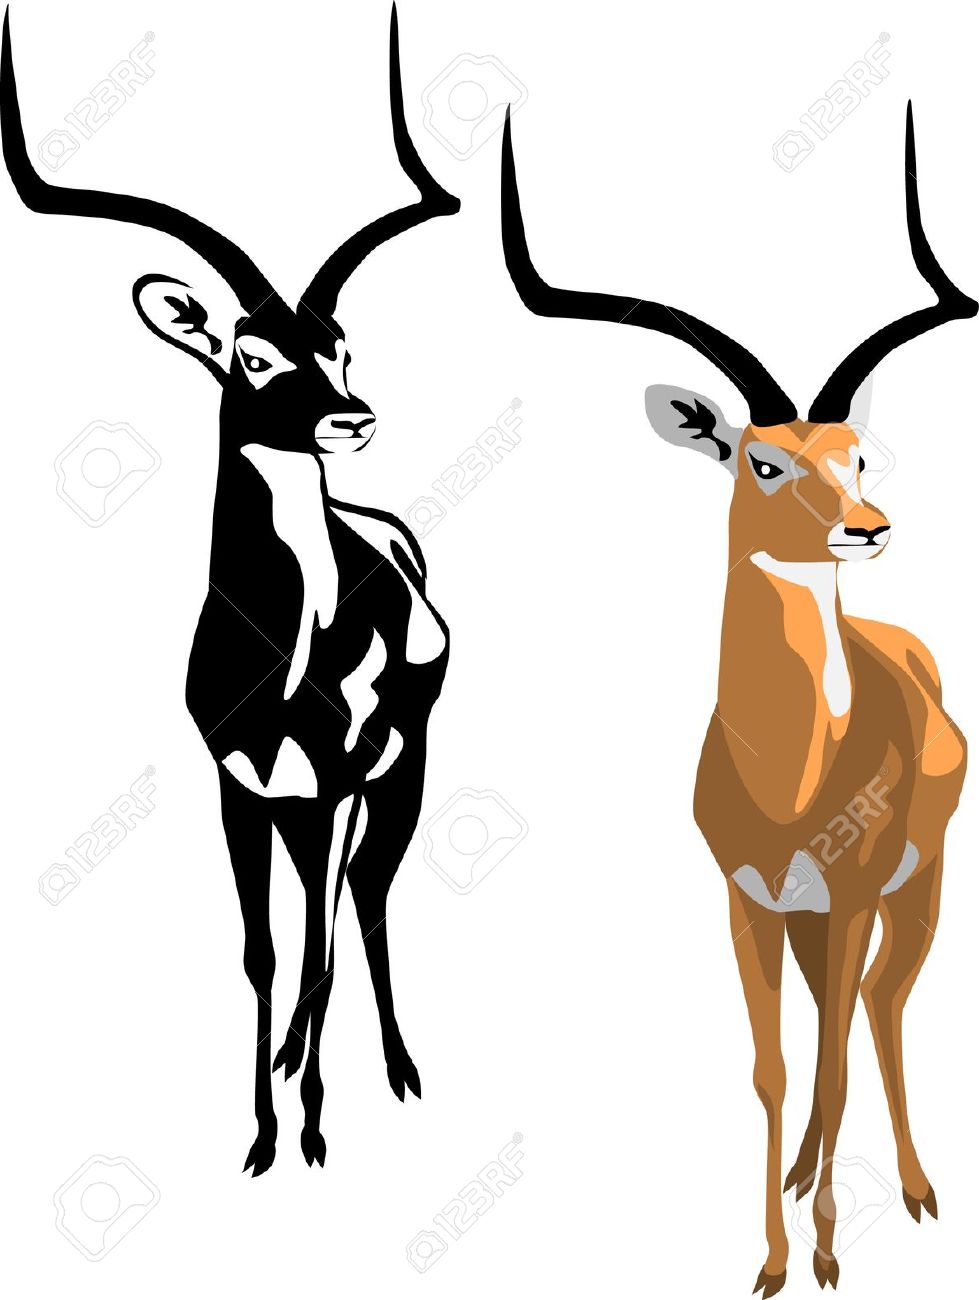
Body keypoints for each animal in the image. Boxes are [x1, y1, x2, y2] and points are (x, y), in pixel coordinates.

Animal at [2, 6, 459, 1174]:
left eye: (340, 348)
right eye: (249, 353)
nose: (351, 418)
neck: (284, 651)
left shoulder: (333, 785)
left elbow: (319, 944)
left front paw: (311, 1129)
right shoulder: (239, 788)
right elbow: (260, 950)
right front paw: (259, 1131)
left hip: (395, 777)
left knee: (363, 901)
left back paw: (396, 1072)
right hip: (303, 806)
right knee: (327, 910)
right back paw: (303, 1063)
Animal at [501, 104, 974, 1290]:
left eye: (856, 454)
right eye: (759, 461)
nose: (866, 526)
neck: (792, 771)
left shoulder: (846, 896)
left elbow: (836, 1054)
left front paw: (823, 1258)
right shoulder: (747, 899)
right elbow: (771, 1066)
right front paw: (769, 1256)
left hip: (917, 884)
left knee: (879, 1007)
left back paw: (913, 1190)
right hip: (812, 918)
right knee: (837, 1018)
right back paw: (810, 1178)